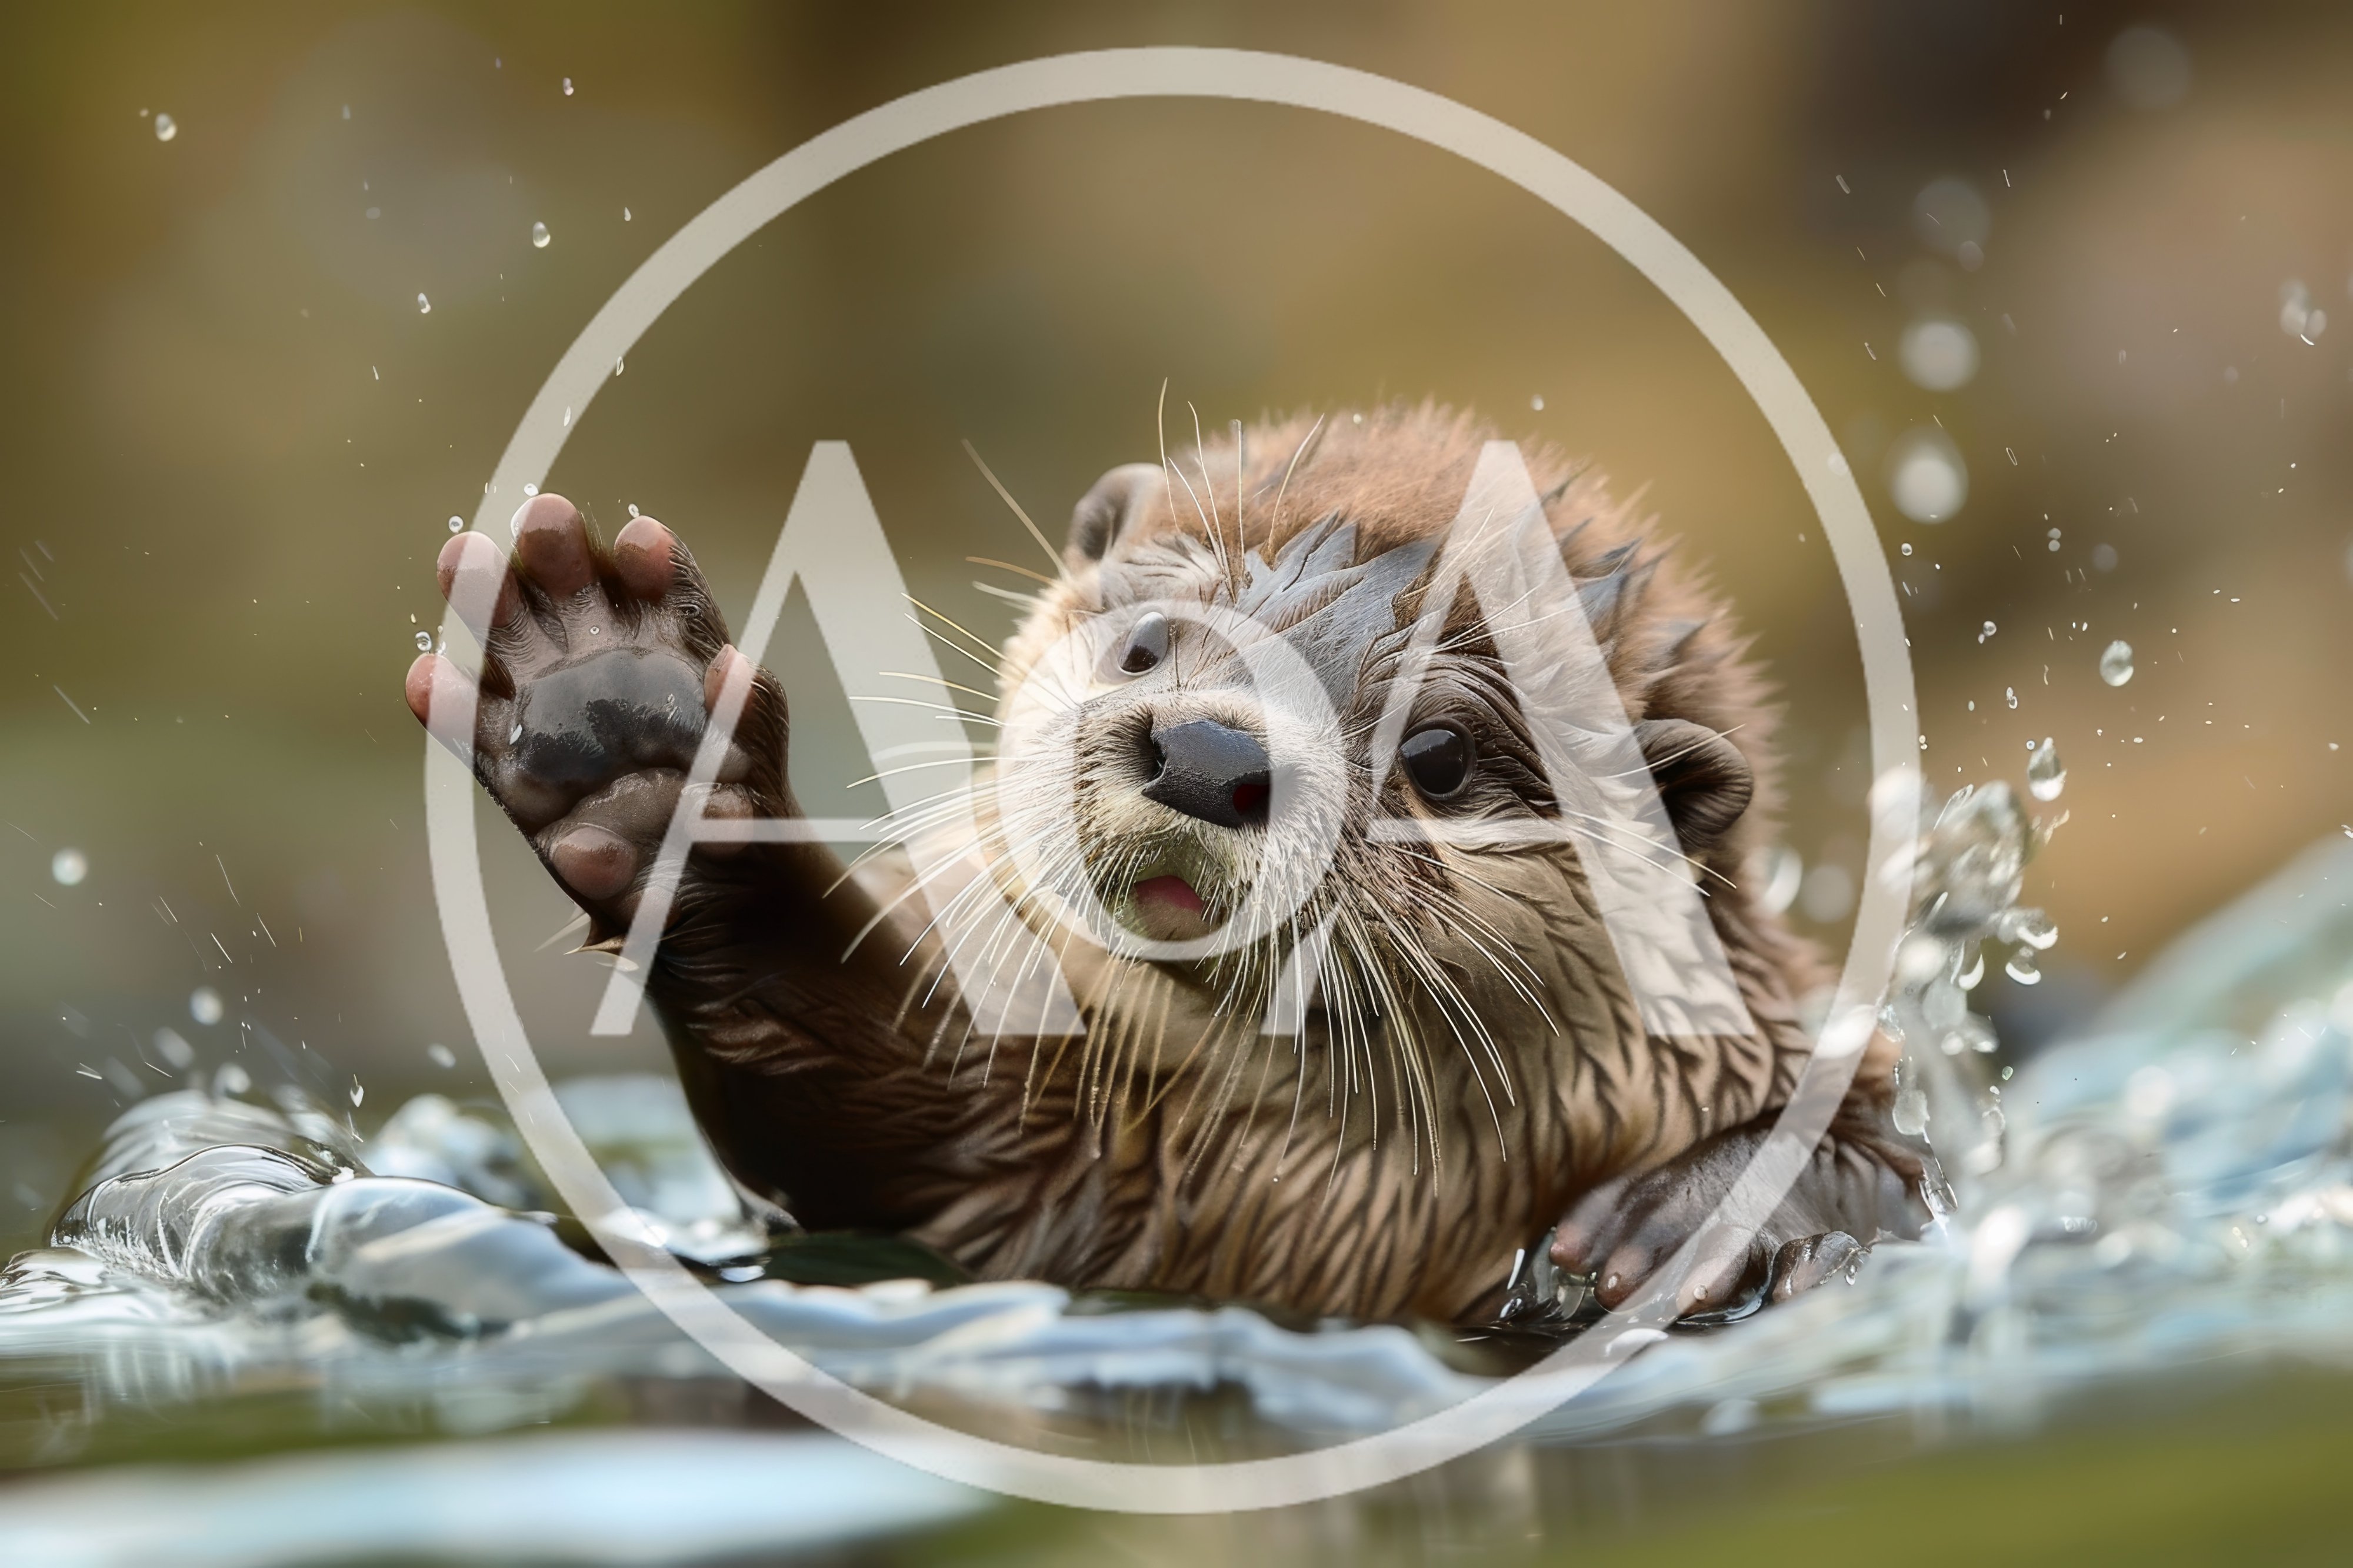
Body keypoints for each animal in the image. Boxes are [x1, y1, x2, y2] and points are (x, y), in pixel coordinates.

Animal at [405, 404, 1923, 1325]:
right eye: (1146, 639)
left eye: (1437, 755)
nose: (1205, 749)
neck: (1302, 1198)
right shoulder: (1031, 1174)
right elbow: (866, 1118)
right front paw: (630, 723)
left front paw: (1684, 1217)